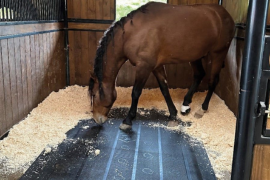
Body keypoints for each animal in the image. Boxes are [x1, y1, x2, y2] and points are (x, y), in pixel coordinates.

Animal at [88, 2, 234, 130]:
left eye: (94, 95)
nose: (97, 119)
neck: (133, 34)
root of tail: (225, 14)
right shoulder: (156, 67)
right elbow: (164, 89)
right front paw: (173, 114)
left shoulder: (144, 67)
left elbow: (135, 92)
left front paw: (128, 120)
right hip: (195, 56)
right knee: (199, 75)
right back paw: (185, 105)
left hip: (217, 55)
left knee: (212, 81)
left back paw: (202, 109)